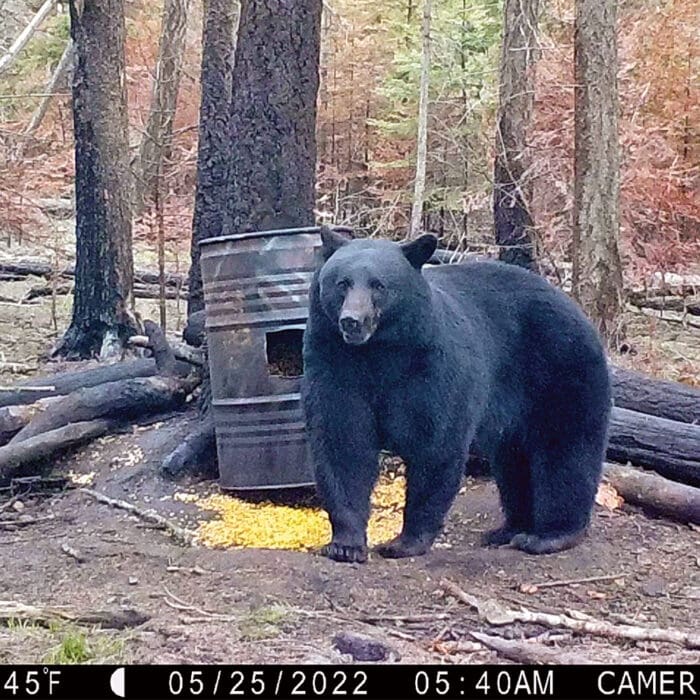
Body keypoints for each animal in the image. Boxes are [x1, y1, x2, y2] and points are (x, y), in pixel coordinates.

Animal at [301, 227, 612, 564]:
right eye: (342, 283)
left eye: (379, 285)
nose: (352, 320)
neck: (380, 352)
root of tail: (576, 310)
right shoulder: (336, 366)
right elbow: (342, 443)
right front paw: (345, 545)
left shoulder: (432, 368)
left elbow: (436, 444)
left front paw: (405, 542)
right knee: (514, 461)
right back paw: (508, 529)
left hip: (560, 371)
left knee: (565, 451)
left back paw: (549, 535)